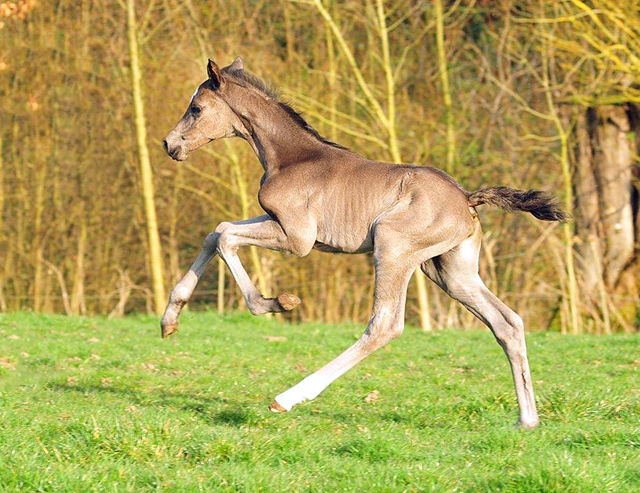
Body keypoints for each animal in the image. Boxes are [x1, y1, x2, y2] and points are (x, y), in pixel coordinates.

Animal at [160, 57, 564, 426]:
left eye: (196, 109)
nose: (168, 144)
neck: (292, 158)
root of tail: (466, 197)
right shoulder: (277, 223)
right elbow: (217, 231)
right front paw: (169, 321)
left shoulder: (297, 238)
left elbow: (226, 237)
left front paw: (274, 303)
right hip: (450, 271)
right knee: (507, 323)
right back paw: (527, 420)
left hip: (393, 247)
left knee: (385, 325)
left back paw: (289, 397)